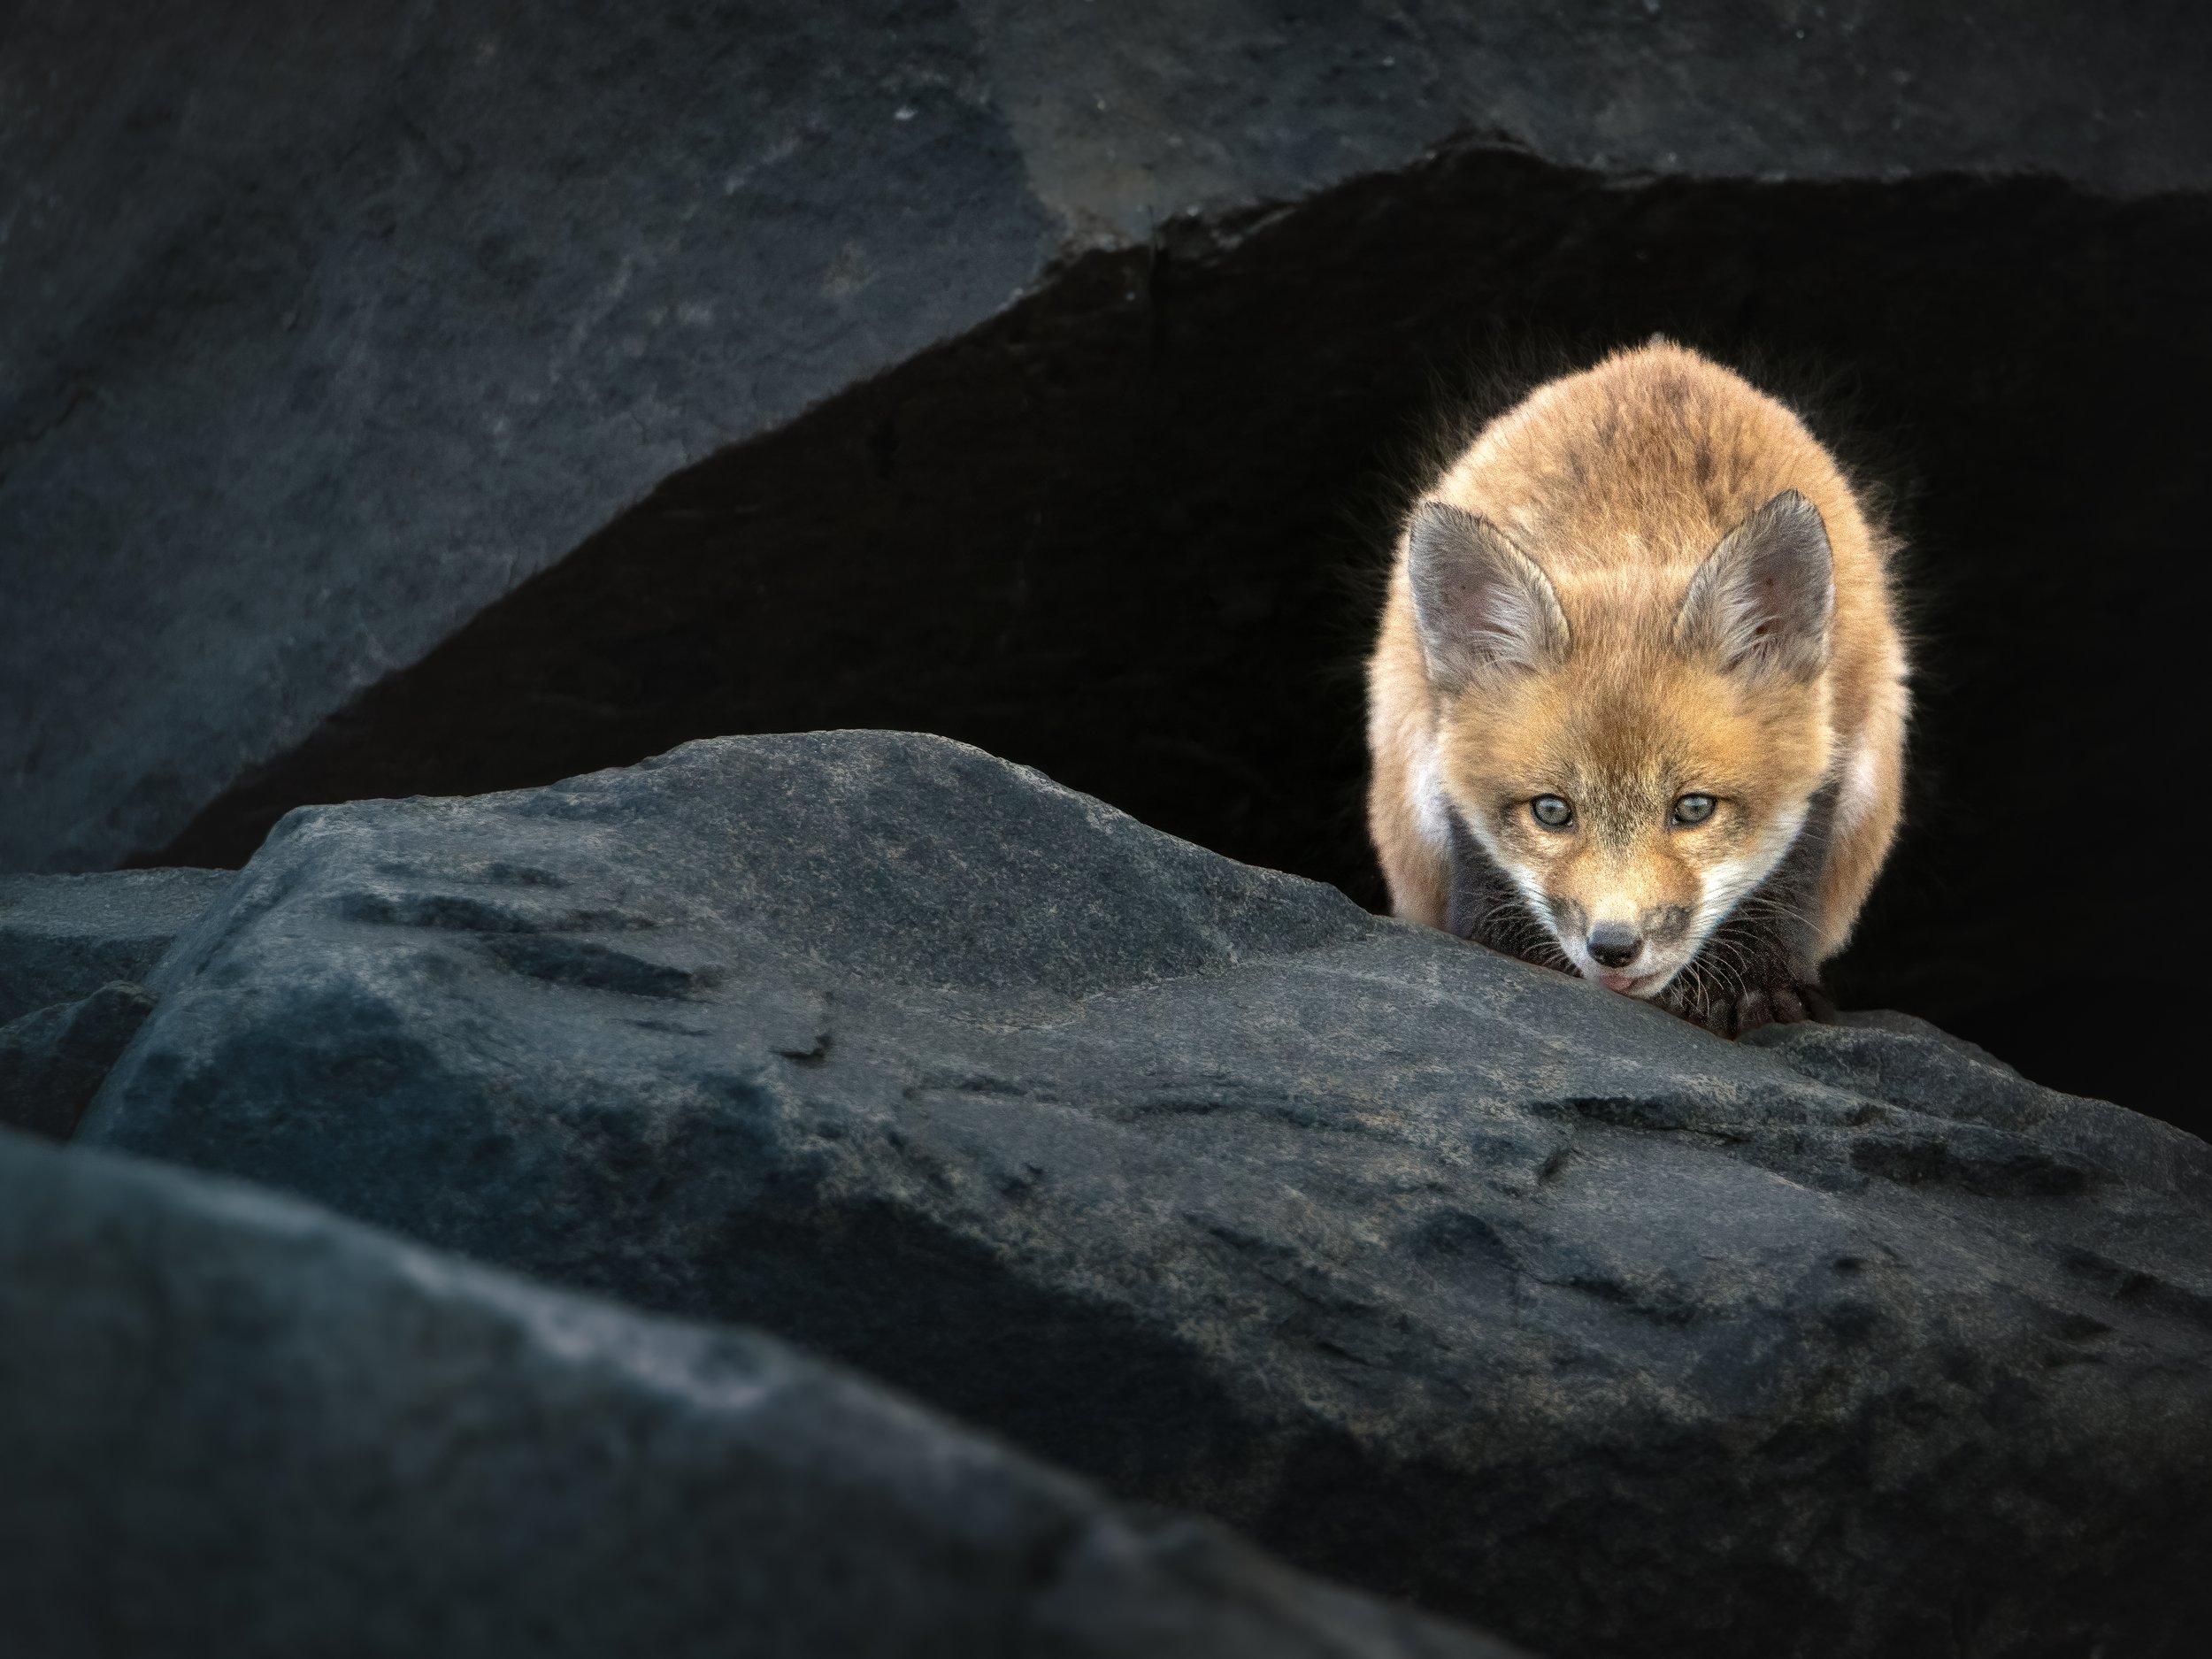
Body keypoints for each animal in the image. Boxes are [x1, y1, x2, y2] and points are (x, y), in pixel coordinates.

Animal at [1366, 340, 1909, 1036]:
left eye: (1694, 809)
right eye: (1552, 811)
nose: (1614, 946)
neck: (1636, 539)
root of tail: (1656, 356)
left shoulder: (1837, 739)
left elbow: (1785, 882)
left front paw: (1759, 986)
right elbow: (1483, 883)